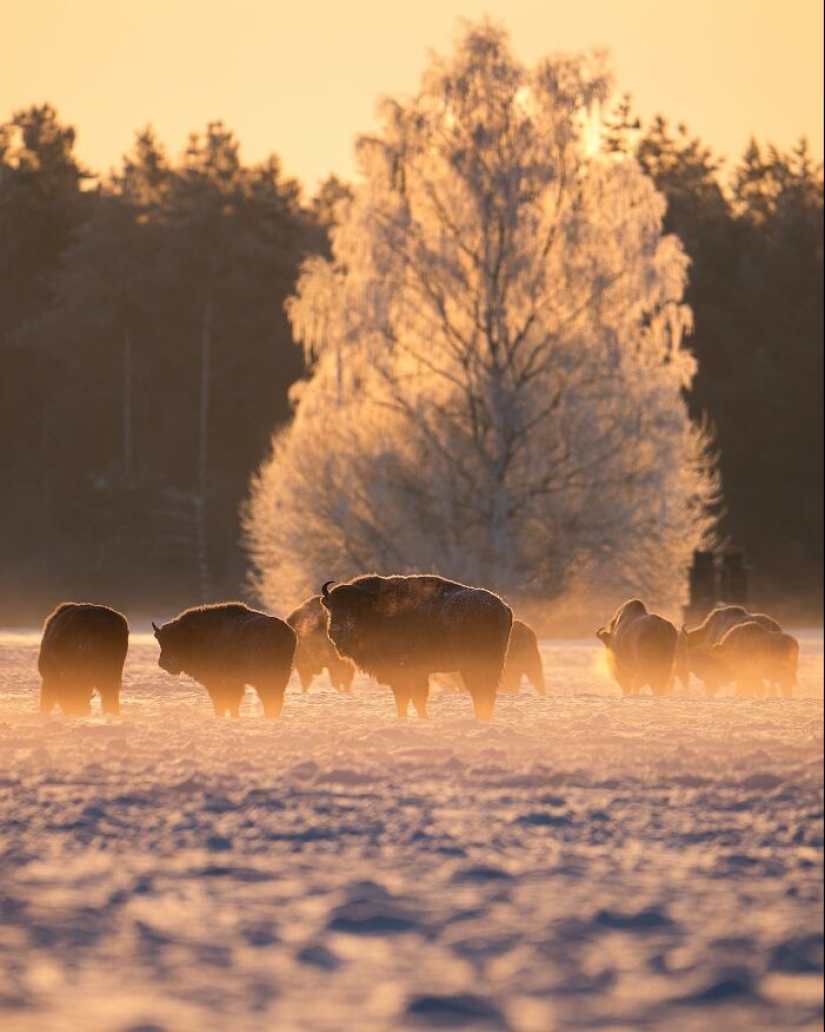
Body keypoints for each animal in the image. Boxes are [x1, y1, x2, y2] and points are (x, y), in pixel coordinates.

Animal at [152, 602, 299, 718]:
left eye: (177, 641)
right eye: (161, 641)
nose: (164, 662)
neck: (196, 635)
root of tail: (285, 632)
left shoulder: (218, 682)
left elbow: (222, 703)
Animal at [320, 577, 510, 722]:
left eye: (353, 607)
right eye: (331, 608)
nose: (335, 630)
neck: (375, 611)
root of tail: (501, 608)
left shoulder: (403, 671)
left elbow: (406, 698)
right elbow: (415, 699)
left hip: (473, 666)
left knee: (481, 691)